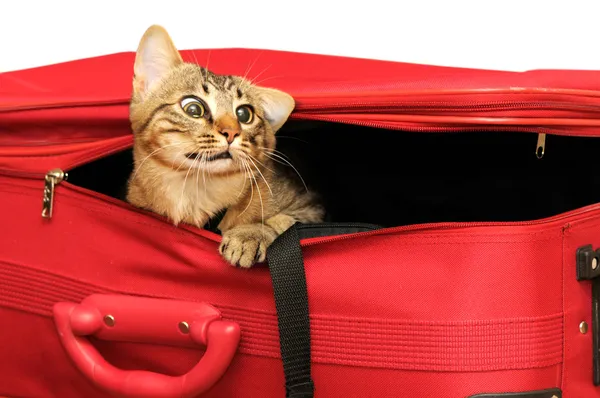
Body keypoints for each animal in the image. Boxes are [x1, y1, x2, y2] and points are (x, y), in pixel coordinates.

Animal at [125, 24, 324, 268]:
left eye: (244, 114)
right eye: (193, 108)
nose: (231, 132)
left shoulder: (312, 208)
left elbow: (287, 222)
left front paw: (251, 233)